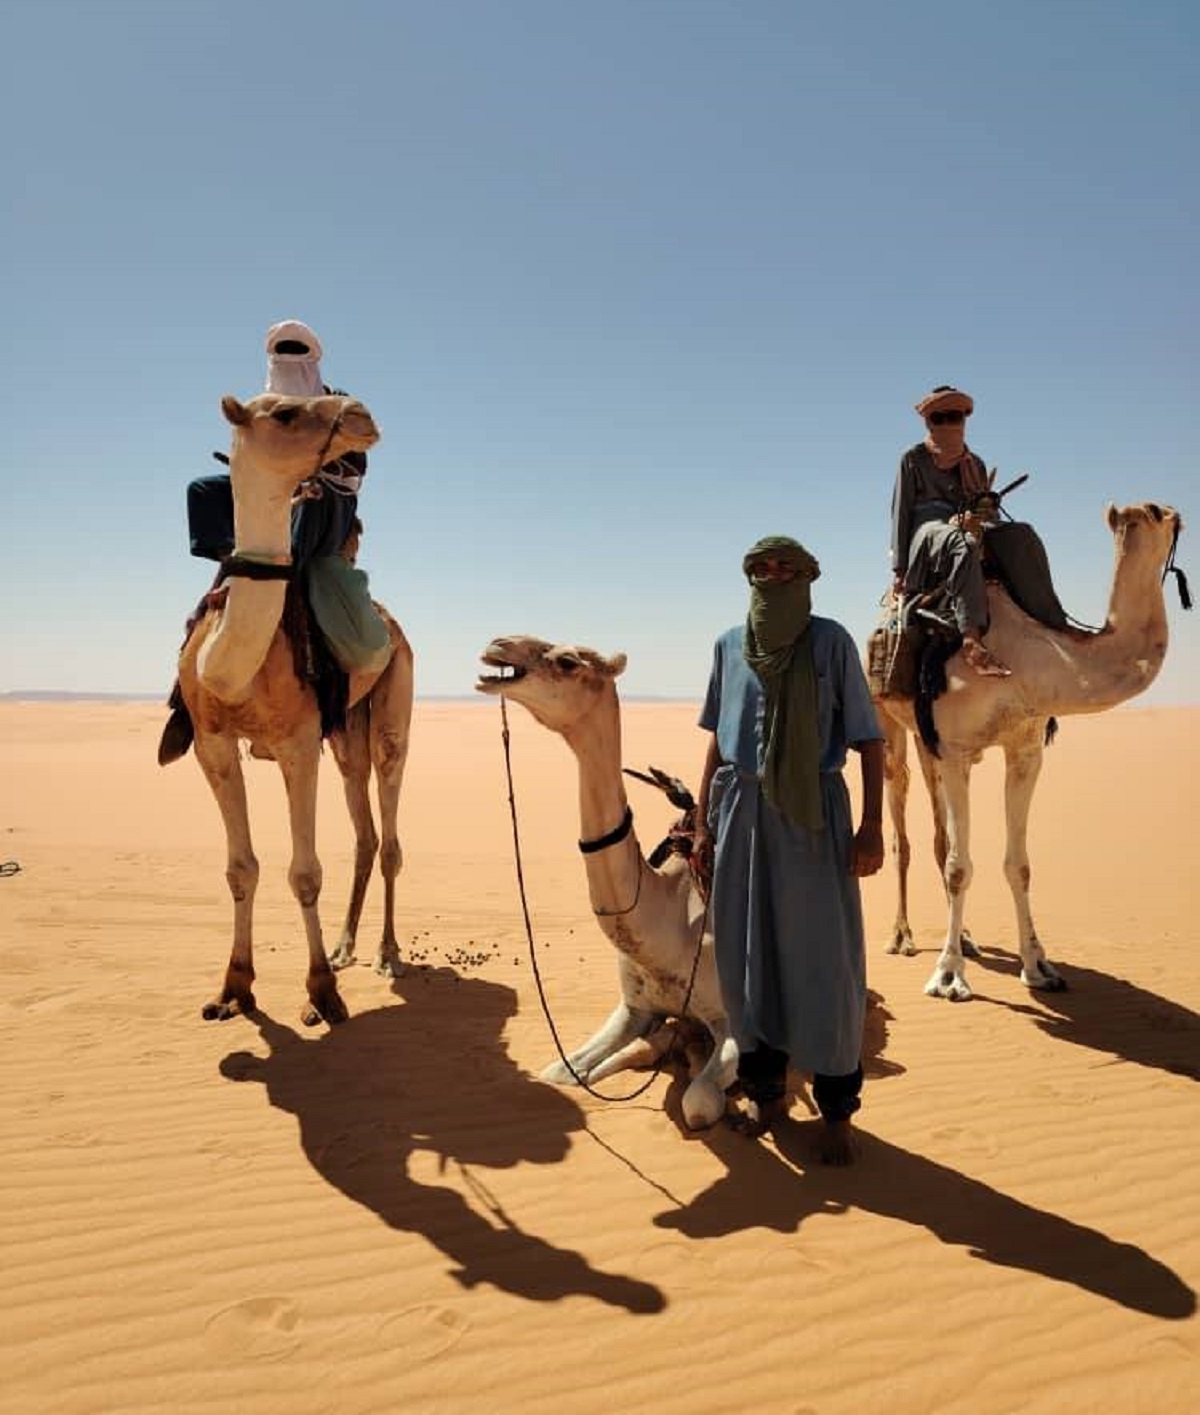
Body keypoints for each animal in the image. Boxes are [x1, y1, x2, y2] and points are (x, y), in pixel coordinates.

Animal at [178, 392, 414, 1026]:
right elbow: (241, 868)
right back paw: (345, 946)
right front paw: (233, 989)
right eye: (284, 413)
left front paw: (321, 995)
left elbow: (304, 873)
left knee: (390, 833)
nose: (361, 415)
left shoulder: (298, 743)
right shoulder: (212, 743)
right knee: (364, 832)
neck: (232, 664)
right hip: (345, 734)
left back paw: (385, 954)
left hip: (392, 709)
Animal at [476, 636, 739, 1129]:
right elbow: (562, 1072)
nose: (497, 645)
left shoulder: (733, 1020)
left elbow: (697, 1104)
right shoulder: (634, 1006)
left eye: (566, 661)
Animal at [876, 501, 1186, 1001]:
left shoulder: (1025, 749)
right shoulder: (958, 749)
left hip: (928, 739)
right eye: (1155, 512)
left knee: (939, 827)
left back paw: (966, 937)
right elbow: (960, 867)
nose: (1178, 514)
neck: (1026, 661)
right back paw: (901, 937)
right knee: (899, 807)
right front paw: (948, 976)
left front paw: (1038, 967)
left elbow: (1018, 864)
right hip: (888, 718)